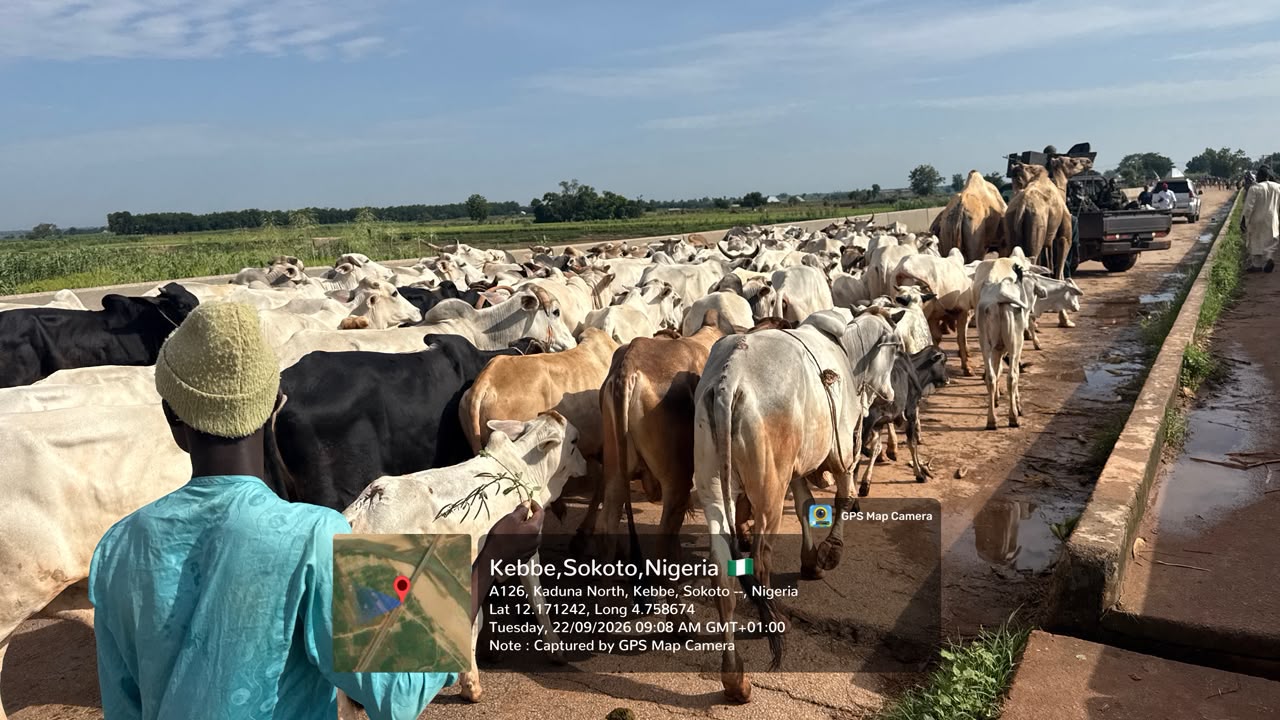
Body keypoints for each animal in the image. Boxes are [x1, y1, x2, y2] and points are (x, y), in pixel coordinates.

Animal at [343, 411, 587, 704]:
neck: (525, 468)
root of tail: (369, 503)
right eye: (574, 441)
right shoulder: (527, 553)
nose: (587, 463)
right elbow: (537, 603)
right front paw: (556, 651)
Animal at [692, 311, 901, 702]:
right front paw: (830, 552)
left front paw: (811, 560)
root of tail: (730, 378)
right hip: (769, 491)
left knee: (723, 572)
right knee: (760, 560)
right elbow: (842, 495)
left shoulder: (796, 468)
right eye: (895, 350)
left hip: (714, 486)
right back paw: (771, 623)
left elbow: (805, 505)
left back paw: (735, 678)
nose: (892, 398)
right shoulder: (840, 448)